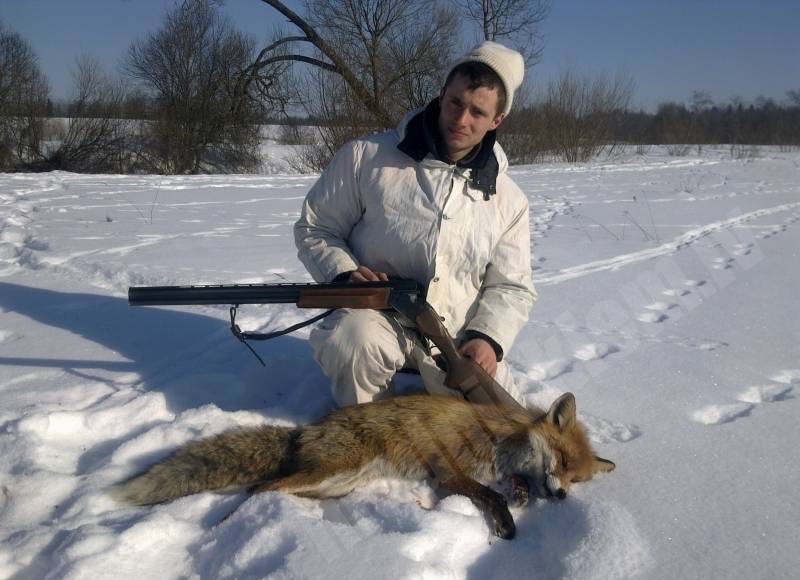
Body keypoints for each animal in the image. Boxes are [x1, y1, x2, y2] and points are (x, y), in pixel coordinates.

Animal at [111, 392, 614, 539]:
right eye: (563, 461)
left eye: (577, 478)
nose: (562, 495)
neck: (500, 438)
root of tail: (304, 432)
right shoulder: (449, 472)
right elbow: (490, 495)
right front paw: (507, 525)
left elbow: (510, 485)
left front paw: (524, 494)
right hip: (334, 471)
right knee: (259, 489)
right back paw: (229, 524)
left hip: (338, 483)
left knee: (276, 487)